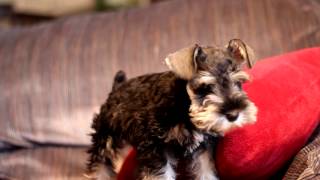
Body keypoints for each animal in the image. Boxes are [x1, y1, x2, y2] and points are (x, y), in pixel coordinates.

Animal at [85, 38, 258, 179]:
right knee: (99, 166)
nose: (233, 115)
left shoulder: (203, 148)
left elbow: (206, 172)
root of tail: (117, 88)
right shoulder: (155, 147)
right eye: (205, 87)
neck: (184, 104)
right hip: (105, 138)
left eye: (238, 82)